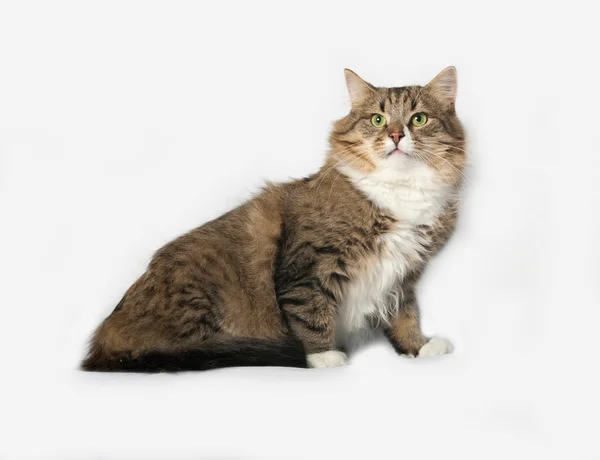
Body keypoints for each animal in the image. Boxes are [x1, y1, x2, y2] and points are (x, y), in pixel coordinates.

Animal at [83, 67, 468, 370]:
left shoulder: (403, 273)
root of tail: (108, 329)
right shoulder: (310, 265)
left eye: (418, 119)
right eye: (377, 119)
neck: (401, 192)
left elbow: (405, 315)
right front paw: (323, 356)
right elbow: (312, 313)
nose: (396, 135)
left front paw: (418, 347)